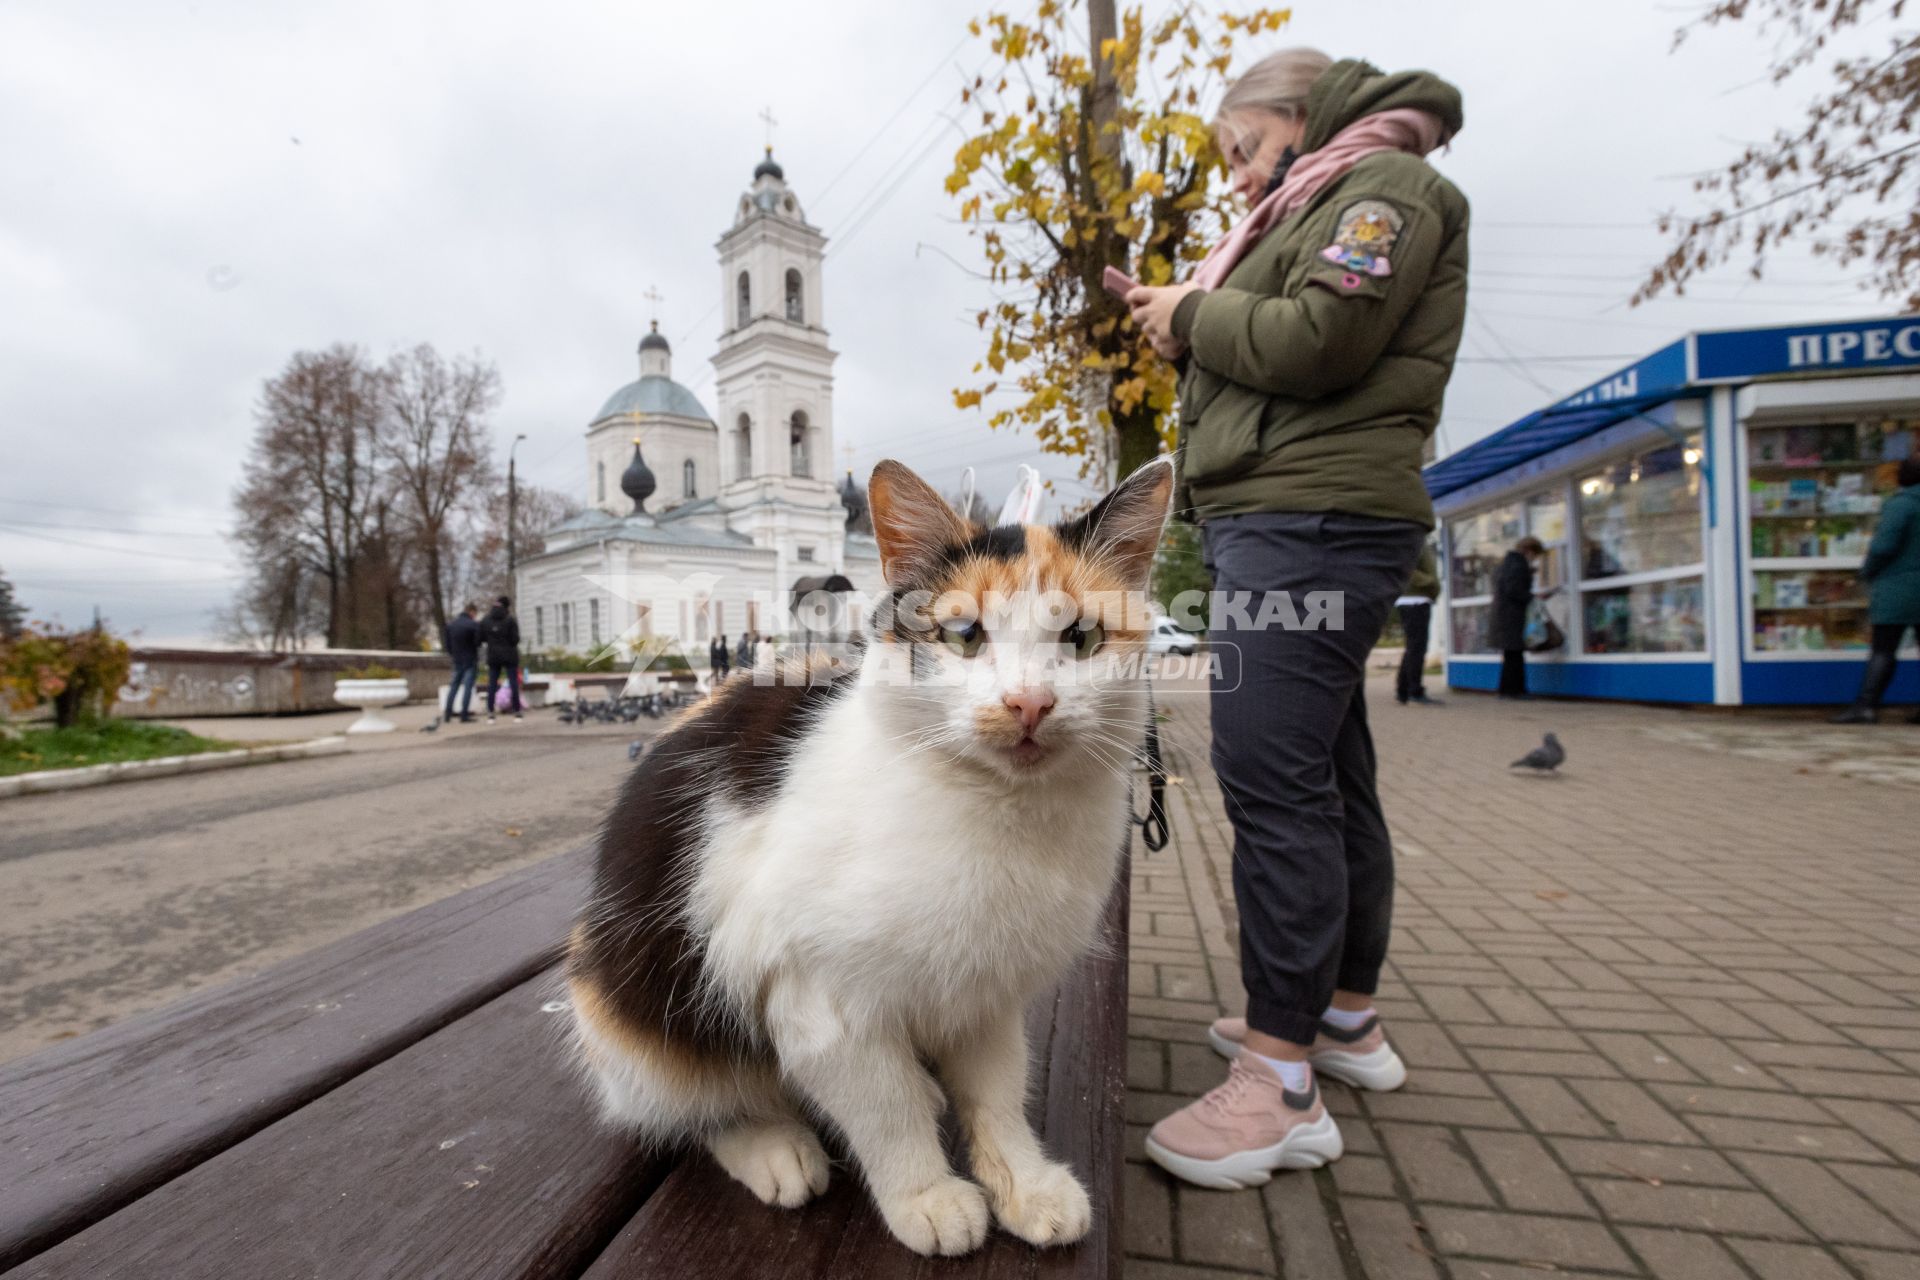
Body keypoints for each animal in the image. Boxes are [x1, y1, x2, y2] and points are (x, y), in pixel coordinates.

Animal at [560, 454, 1175, 1258]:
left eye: (1081, 638)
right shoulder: (818, 1000)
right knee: (693, 1107)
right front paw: (926, 1195)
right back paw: (771, 1145)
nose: (1030, 704)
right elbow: (888, 1105)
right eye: (966, 635)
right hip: (638, 1023)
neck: (1000, 813)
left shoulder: (988, 991)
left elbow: (998, 1093)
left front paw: (1023, 1182)